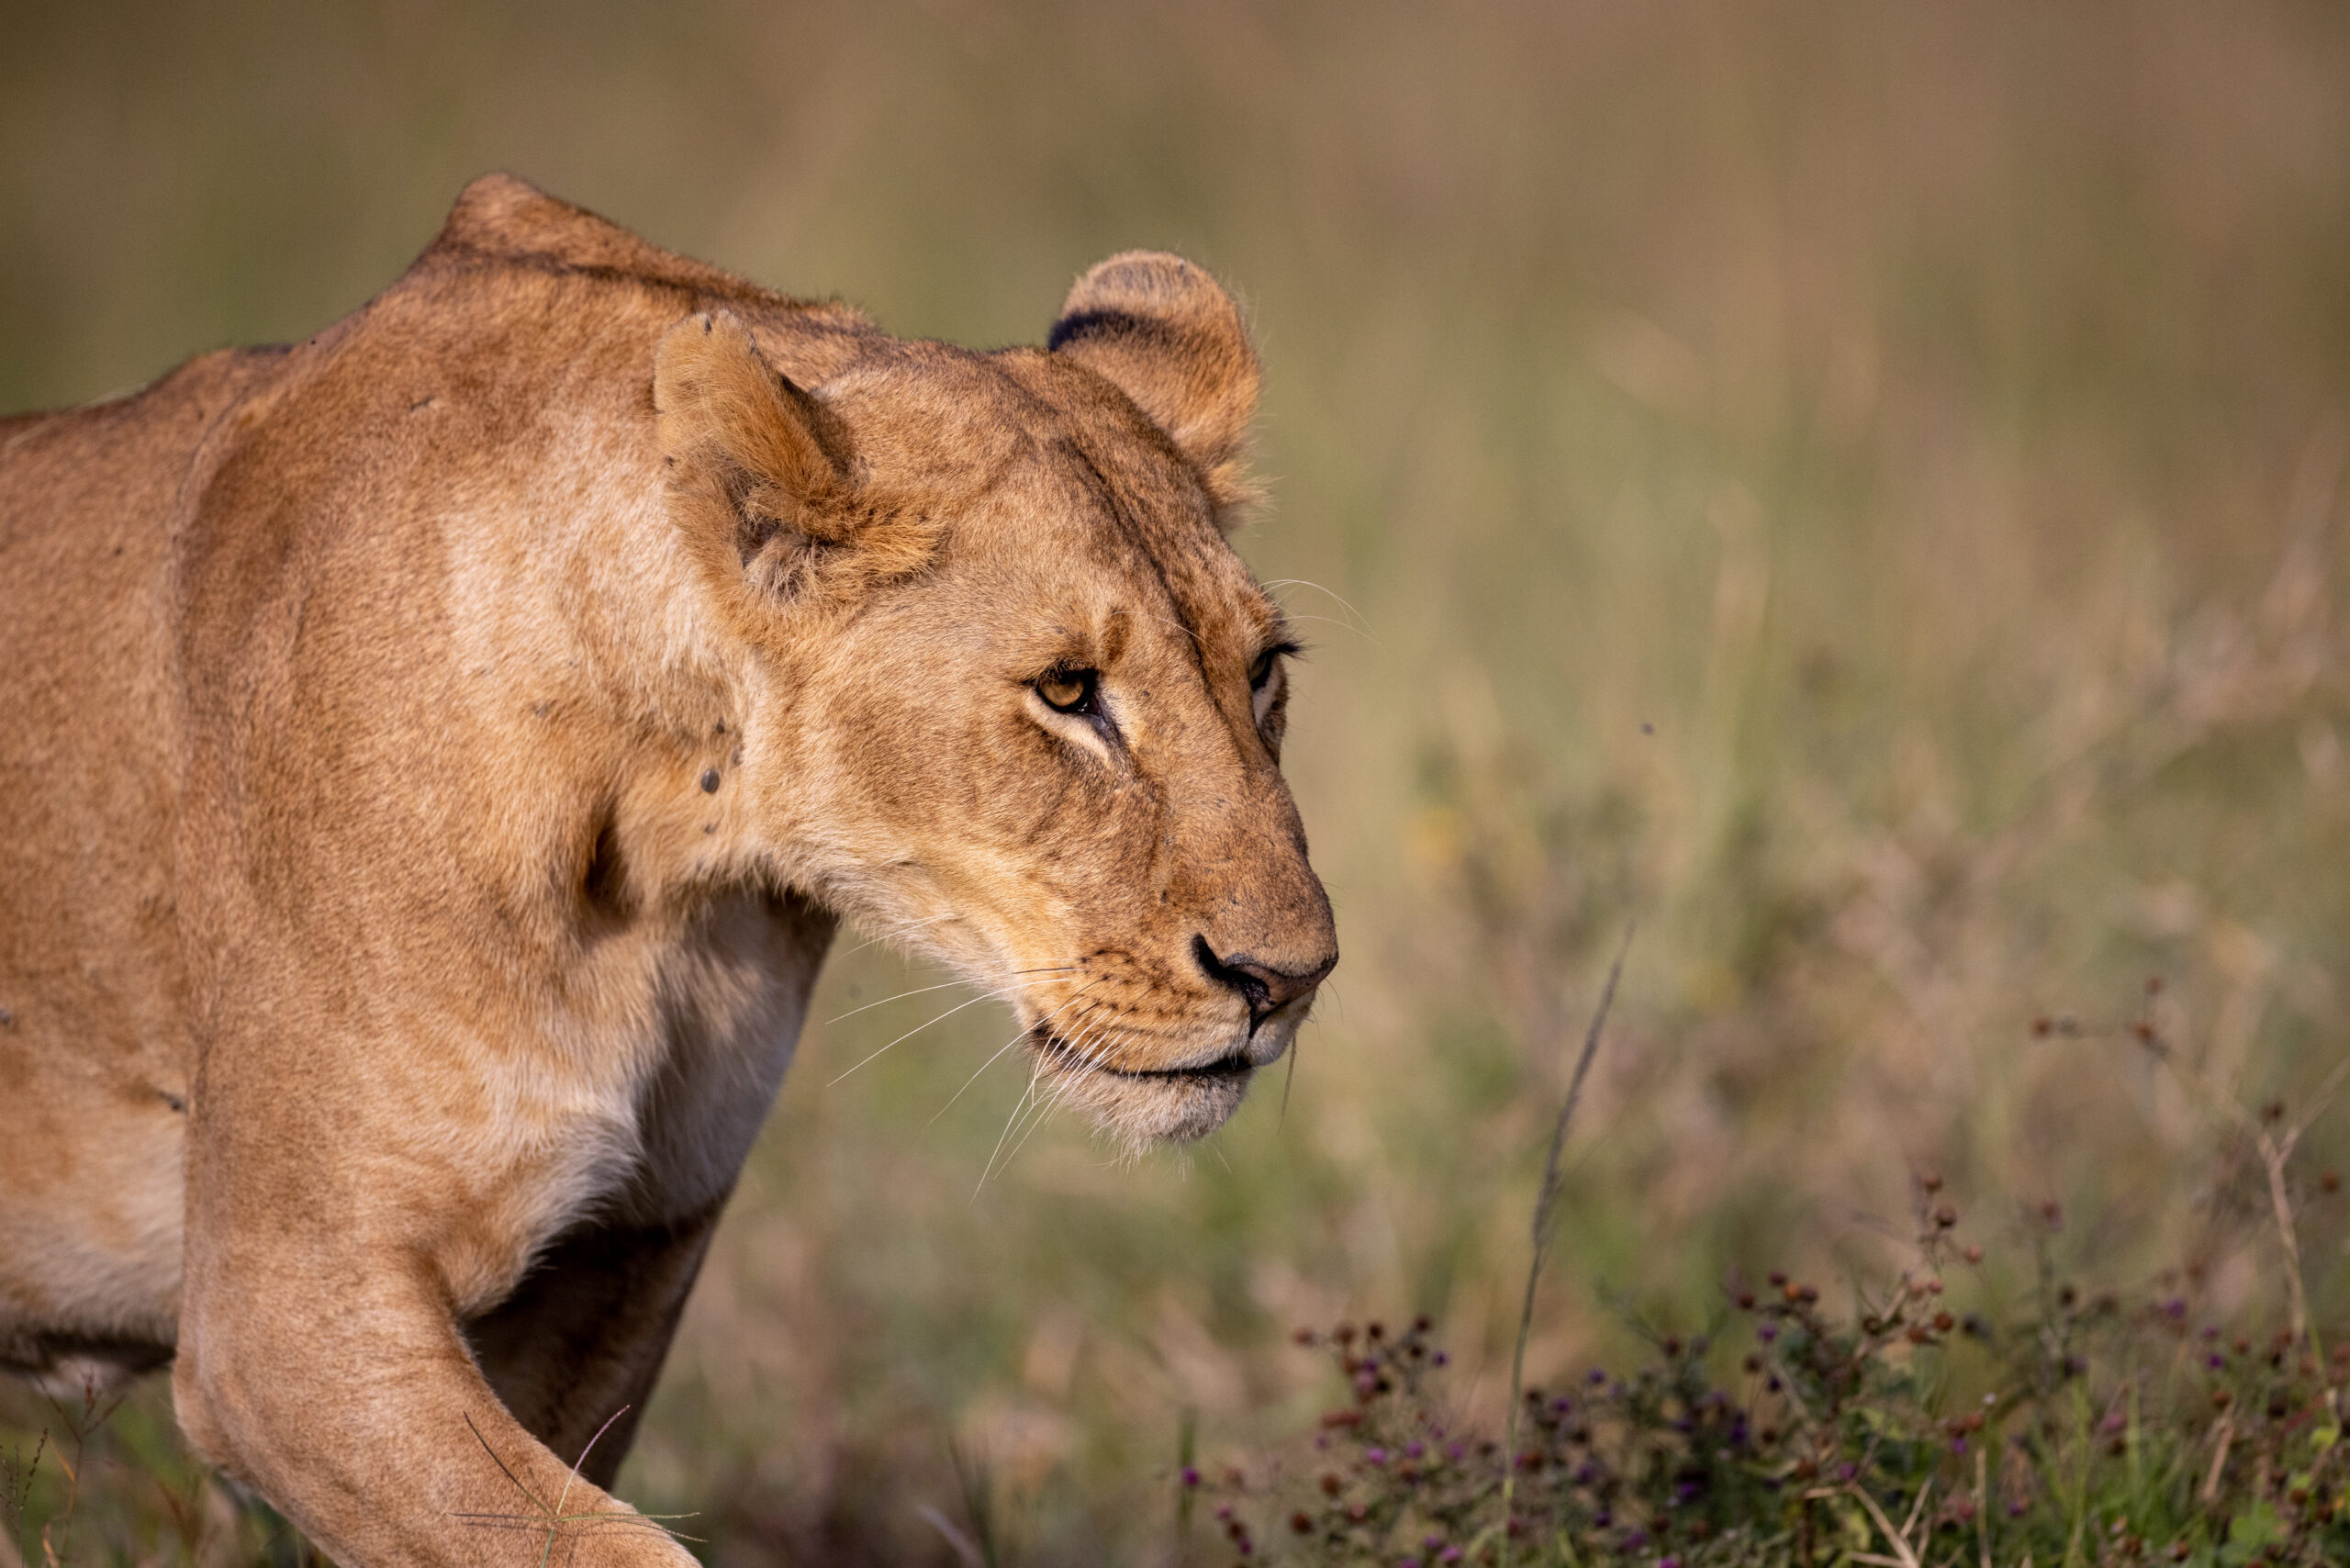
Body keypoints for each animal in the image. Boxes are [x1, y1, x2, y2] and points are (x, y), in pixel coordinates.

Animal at [0, 174, 1336, 1564]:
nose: (1291, 979)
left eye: (1261, 670)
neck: (666, 858)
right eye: (1069, 692)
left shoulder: (622, 1258)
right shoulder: (279, 1311)